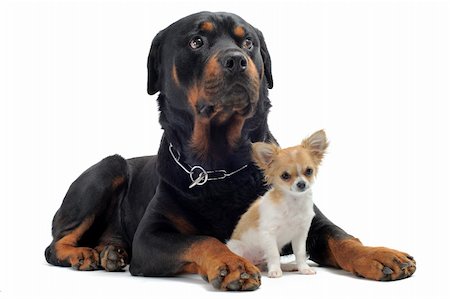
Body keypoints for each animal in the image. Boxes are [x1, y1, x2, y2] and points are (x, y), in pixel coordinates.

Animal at [229, 131, 326, 278]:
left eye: (309, 171)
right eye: (285, 176)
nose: (301, 184)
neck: (293, 202)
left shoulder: (300, 234)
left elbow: (300, 253)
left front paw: (304, 268)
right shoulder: (269, 234)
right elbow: (274, 254)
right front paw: (275, 270)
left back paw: (288, 266)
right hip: (237, 247)